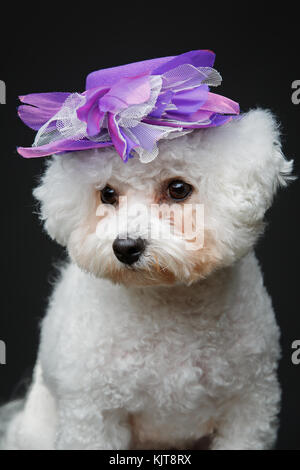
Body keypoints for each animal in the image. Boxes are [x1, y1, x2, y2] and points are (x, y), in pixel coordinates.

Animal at [0, 108, 292, 450]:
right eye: (107, 194)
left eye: (178, 188)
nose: (125, 247)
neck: (166, 303)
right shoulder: (93, 415)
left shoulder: (248, 408)